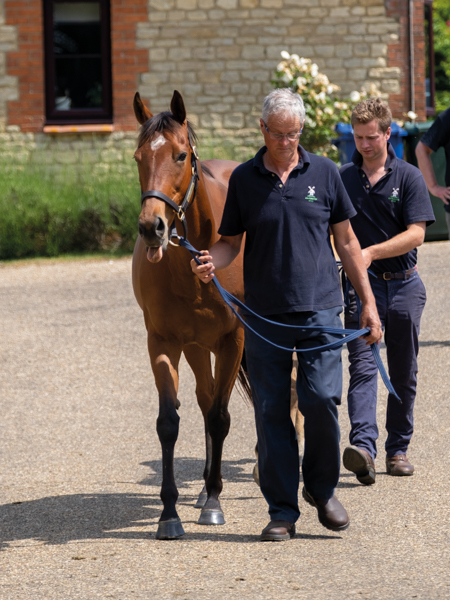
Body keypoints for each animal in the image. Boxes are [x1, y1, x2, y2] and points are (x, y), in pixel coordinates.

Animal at [131, 91, 250, 540]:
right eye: (139, 157)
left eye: (180, 155)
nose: (152, 227)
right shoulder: (163, 342)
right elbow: (170, 421)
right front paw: (169, 513)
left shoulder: (235, 339)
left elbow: (220, 417)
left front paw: (215, 501)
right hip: (198, 346)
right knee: (204, 396)